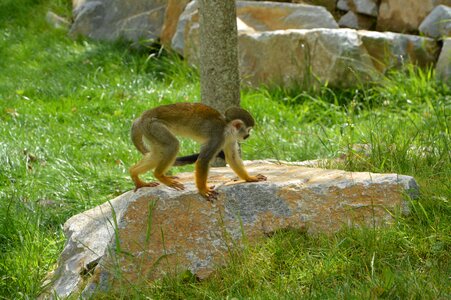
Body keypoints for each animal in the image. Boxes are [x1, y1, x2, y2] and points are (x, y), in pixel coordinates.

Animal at [129, 102, 266, 199]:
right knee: (173, 145)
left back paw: (134, 174)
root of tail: (143, 116)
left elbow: (232, 157)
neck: (227, 128)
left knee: (158, 153)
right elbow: (203, 161)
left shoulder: (231, 138)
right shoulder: (218, 137)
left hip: (150, 131)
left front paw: (249, 178)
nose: (248, 136)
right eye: (248, 130)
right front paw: (203, 190)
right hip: (154, 126)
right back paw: (159, 175)